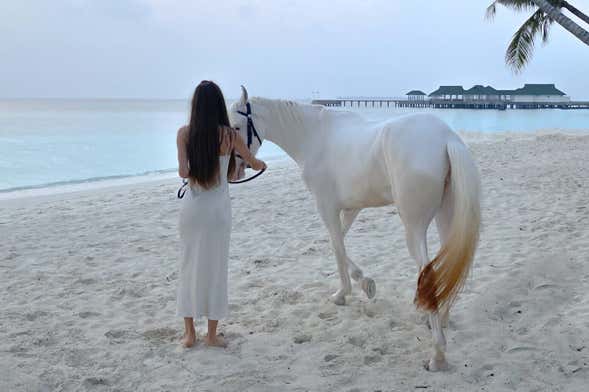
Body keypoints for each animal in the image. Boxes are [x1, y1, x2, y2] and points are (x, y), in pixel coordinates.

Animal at [227, 86, 480, 370]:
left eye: (236, 127)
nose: (234, 170)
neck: (314, 136)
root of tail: (446, 138)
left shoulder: (326, 207)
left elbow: (337, 246)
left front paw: (343, 293)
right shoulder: (351, 209)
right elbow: (337, 242)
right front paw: (365, 284)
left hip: (414, 228)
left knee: (430, 274)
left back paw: (437, 354)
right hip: (446, 218)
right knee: (452, 265)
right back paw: (441, 320)